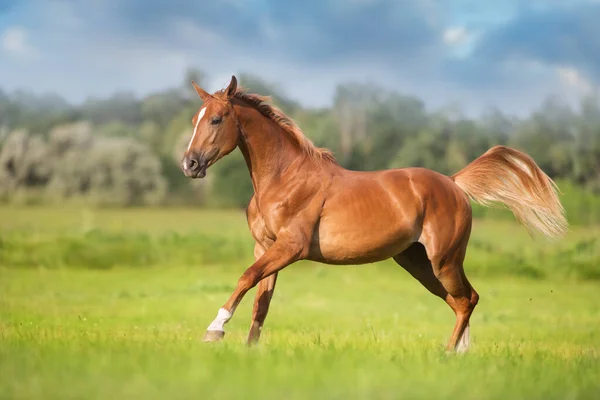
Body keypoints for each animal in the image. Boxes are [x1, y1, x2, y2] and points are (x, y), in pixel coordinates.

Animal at [179, 75, 568, 350]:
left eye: (216, 119)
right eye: (195, 118)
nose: (189, 164)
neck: (283, 179)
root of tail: (455, 184)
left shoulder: (290, 247)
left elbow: (246, 278)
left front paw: (214, 330)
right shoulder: (265, 247)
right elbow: (261, 300)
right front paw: (250, 350)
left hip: (444, 260)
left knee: (467, 299)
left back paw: (448, 353)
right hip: (417, 263)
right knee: (460, 301)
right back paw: (458, 353)